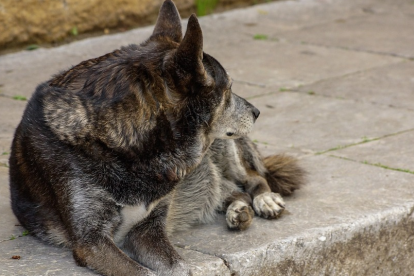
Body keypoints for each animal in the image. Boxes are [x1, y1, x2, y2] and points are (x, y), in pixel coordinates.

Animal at [7, 1, 304, 274]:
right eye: (229, 89)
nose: (257, 112)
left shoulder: (148, 231)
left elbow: (181, 267)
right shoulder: (92, 242)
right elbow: (141, 270)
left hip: (225, 147)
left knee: (252, 178)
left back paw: (264, 200)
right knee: (230, 190)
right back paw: (238, 210)